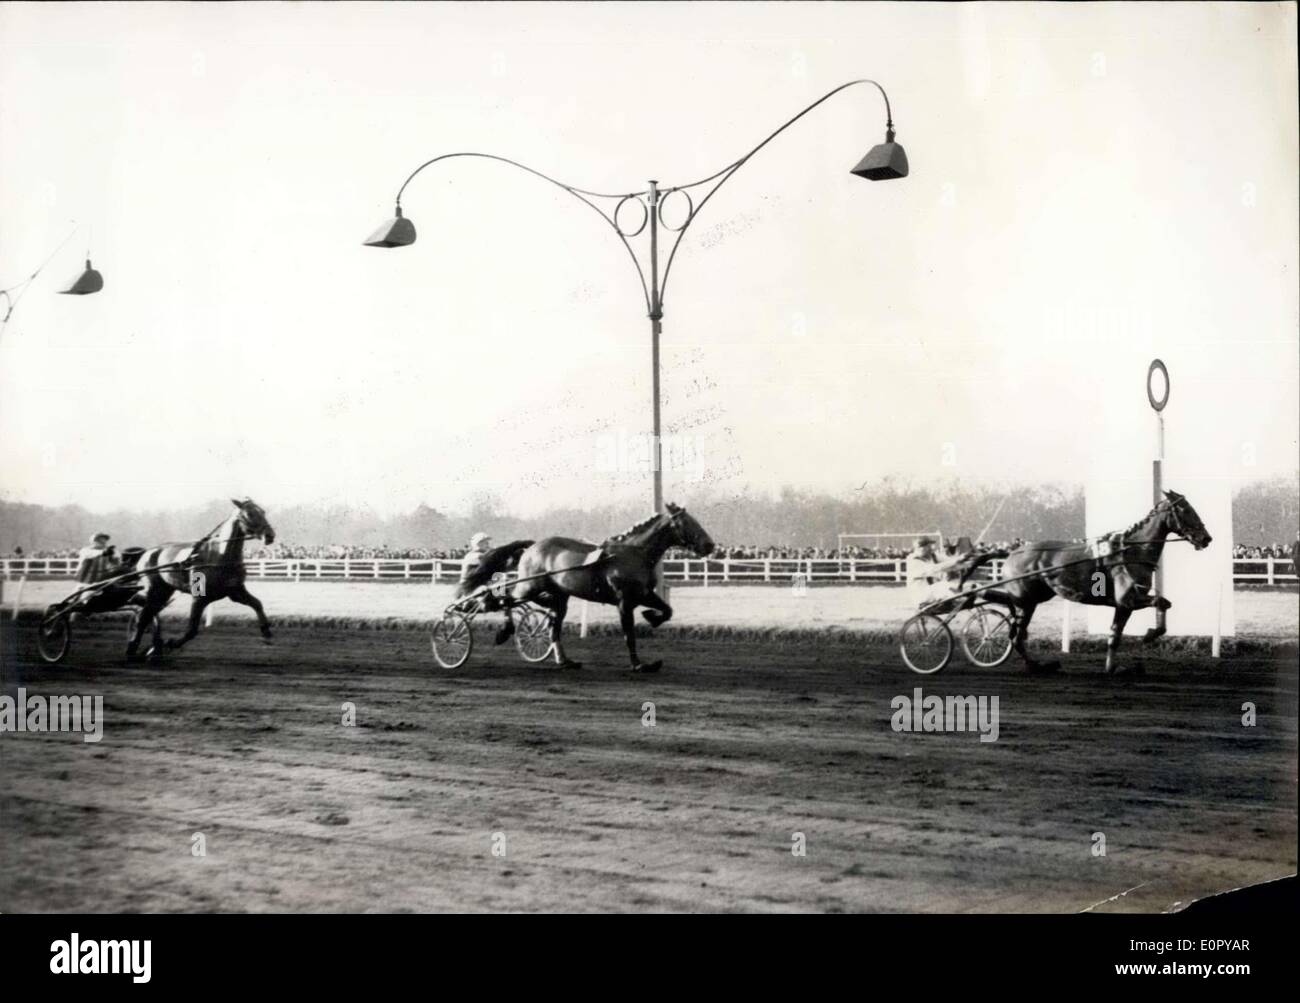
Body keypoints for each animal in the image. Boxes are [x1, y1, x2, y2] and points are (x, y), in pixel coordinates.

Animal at [126, 496, 276, 662]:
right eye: (249, 513)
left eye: (263, 511)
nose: (270, 535)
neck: (221, 556)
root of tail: (147, 552)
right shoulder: (199, 597)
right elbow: (191, 629)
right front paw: (171, 643)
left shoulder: (235, 591)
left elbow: (257, 604)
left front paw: (266, 633)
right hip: (154, 589)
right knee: (143, 616)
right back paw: (135, 649)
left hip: (165, 590)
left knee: (148, 613)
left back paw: (149, 649)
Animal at [462, 501, 717, 675]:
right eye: (687, 523)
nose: (710, 545)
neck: (632, 554)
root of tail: (533, 546)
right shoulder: (625, 601)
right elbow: (629, 634)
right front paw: (638, 664)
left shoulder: (644, 594)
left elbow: (667, 611)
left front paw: (652, 617)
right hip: (529, 585)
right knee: (506, 596)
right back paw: (502, 627)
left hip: (558, 595)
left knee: (553, 625)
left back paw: (564, 660)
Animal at [961, 491, 1211, 675]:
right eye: (1185, 509)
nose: (1206, 538)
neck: (1132, 551)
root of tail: (1013, 551)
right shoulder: (1128, 600)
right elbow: (1160, 602)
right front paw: (1149, 635)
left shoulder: (1124, 605)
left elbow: (1119, 633)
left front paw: (1115, 666)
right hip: (1026, 601)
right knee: (1016, 634)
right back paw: (1035, 665)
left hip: (1034, 598)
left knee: (1014, 626)